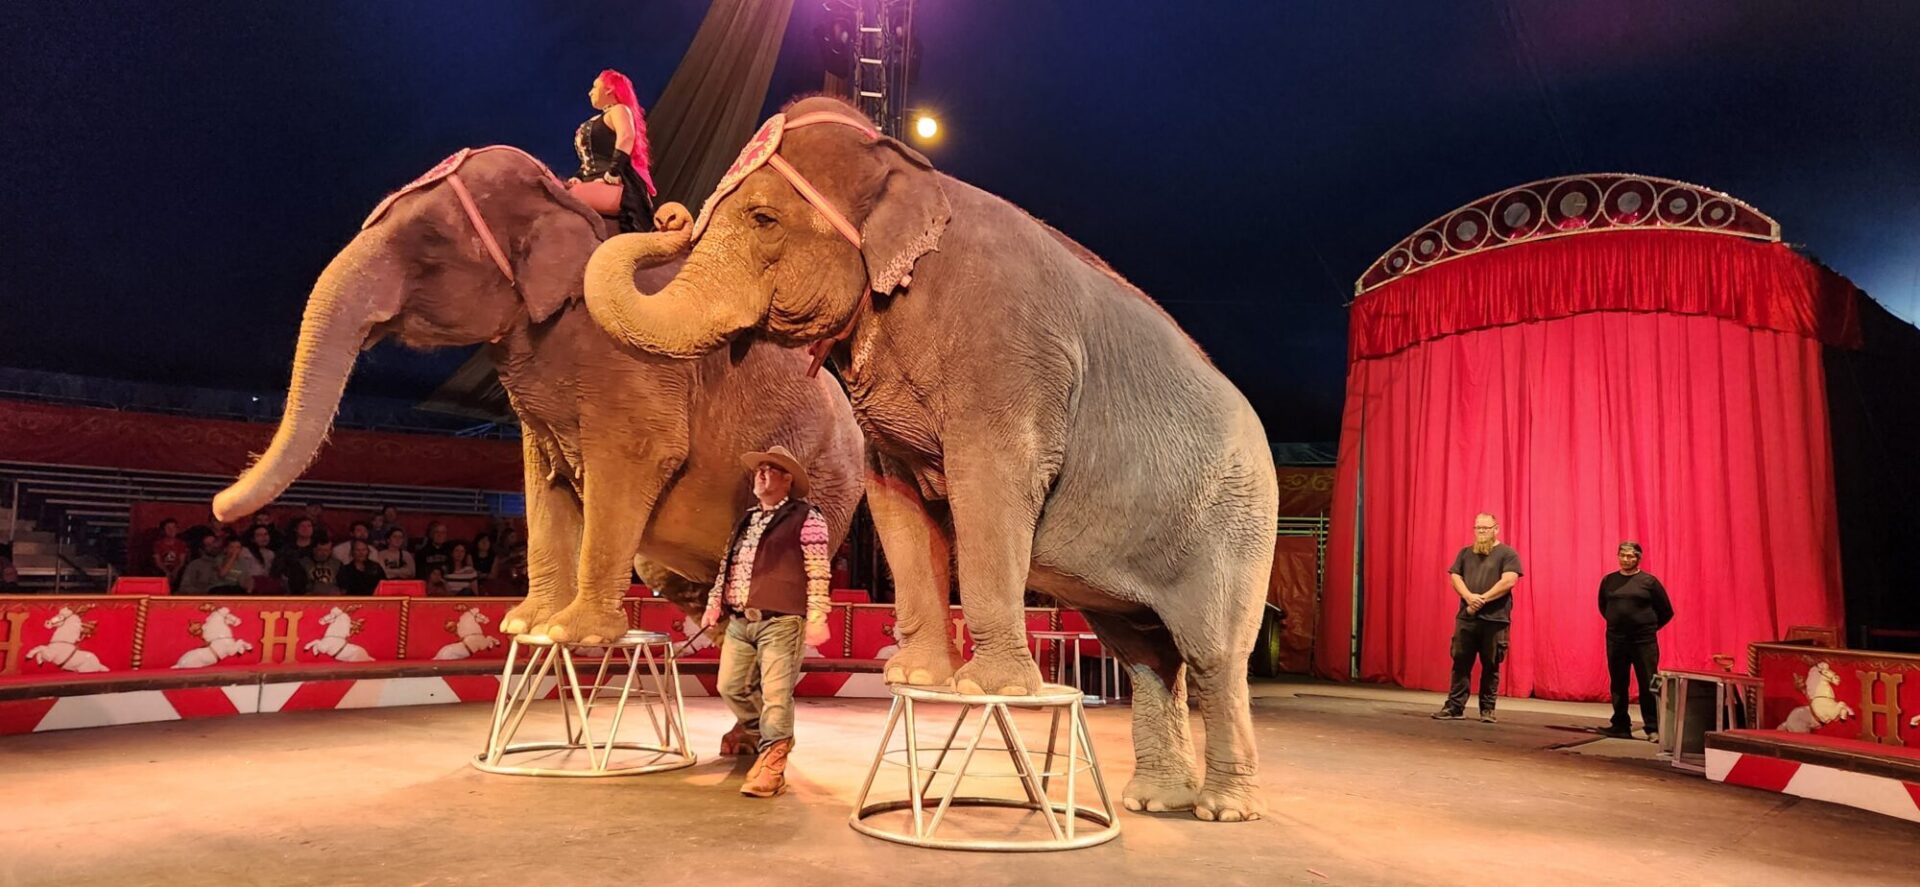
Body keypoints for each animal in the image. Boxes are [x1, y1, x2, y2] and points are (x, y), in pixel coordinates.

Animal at [211, 145, 866, 647]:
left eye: (429, 240)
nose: (219, 506)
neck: (567, 206)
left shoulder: (632, 361)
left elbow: (635, 456)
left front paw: (574, 634)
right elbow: (540, 475)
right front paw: (525, 627)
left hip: (831, 478)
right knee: (658, 564)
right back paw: (706, 618)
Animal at [583, 97, 1278, 821]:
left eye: (763, 218)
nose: (668, 216)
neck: (909, 168)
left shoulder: (1006, 362)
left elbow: (989, 490)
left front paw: (989, 688)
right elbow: (895, 501)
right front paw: (914, 676)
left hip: (1236, 530)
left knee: (1214, 657)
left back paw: (1224, 809)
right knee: (1147, 653)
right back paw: (1154, 801)